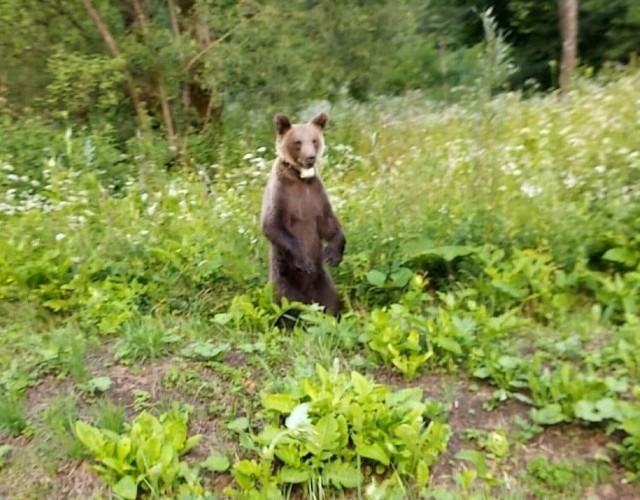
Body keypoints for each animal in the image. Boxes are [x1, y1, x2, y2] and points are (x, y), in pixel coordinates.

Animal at [262, 112, 348, 320]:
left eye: (314, 140)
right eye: (297, 142)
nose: (310, 157)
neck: (301, 179)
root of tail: (307, 300)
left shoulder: (316, 195)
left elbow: (329, 224)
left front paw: (333, 254)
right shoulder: (281, 195)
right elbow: (272, 225)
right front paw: (305, 261)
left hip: (324, 282)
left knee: (331, 302)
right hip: (283, 279)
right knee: (284, 308)